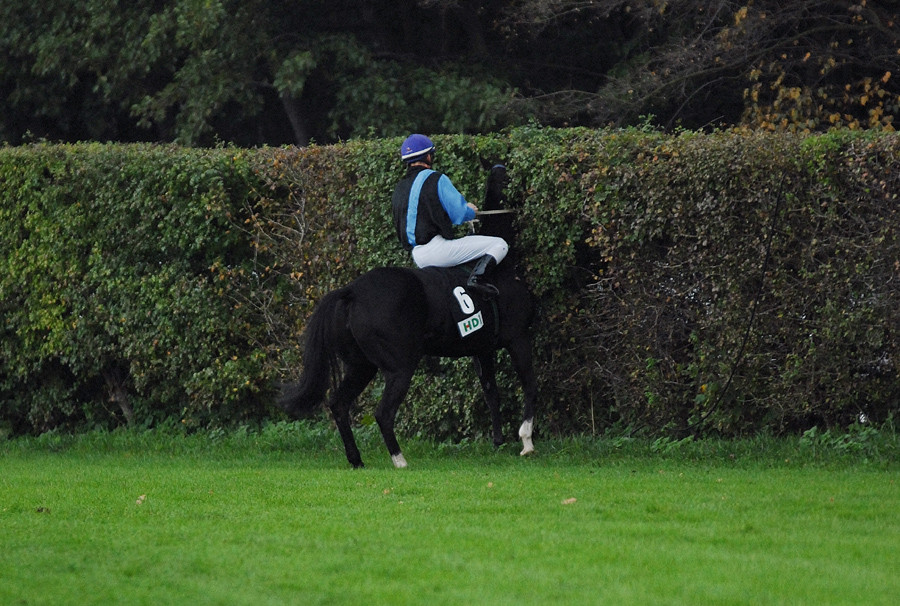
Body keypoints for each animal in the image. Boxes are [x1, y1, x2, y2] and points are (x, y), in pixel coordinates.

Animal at [280, 163, 536, 470]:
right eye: (508, 174)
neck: (501, 270)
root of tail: (352, 291)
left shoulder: (481, 347)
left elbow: (491, 391)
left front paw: (498, 440)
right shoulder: (519, 338)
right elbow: (529, 384)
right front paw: (526, 441)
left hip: (361, 364)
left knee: (339, 404)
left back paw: (356, 460)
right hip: (399, 366)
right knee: (383, 413)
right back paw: (399, 460)